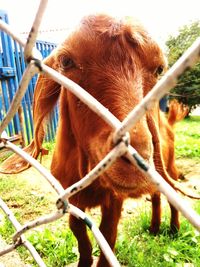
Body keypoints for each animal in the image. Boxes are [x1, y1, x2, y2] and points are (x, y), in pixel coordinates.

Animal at [1, 15, 178, 267]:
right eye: (66, 61)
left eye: (159, 69)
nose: (135, 159)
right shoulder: (71, 198)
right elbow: (78, 230)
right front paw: (84, 261)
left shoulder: (114, 200)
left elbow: (108, 236)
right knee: (156, 194)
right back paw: (154, 228)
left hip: (167, 166)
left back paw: (173, 229)